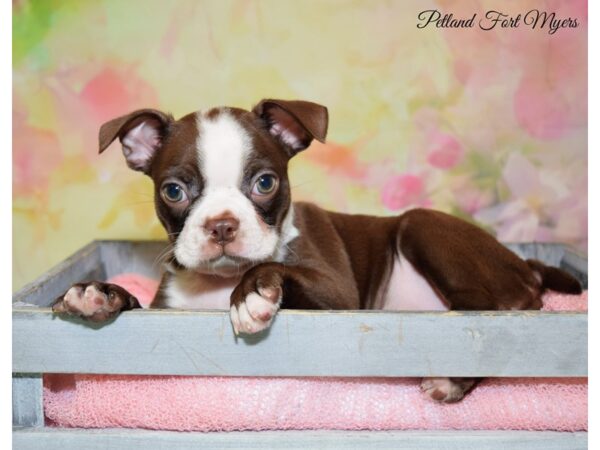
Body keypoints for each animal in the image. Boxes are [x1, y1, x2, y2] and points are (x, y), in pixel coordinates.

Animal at [52, 97, 580, 400]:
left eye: (265, 183)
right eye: (174, 191)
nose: (222, 225)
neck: (217, 283)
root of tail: (525, 264)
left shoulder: (339, 296)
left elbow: (283, 273)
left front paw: (253, 294)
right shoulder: (168, 313)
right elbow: (132, 303)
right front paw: (97, 294)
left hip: (423, 227)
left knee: (480, 323)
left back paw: (452, 376)